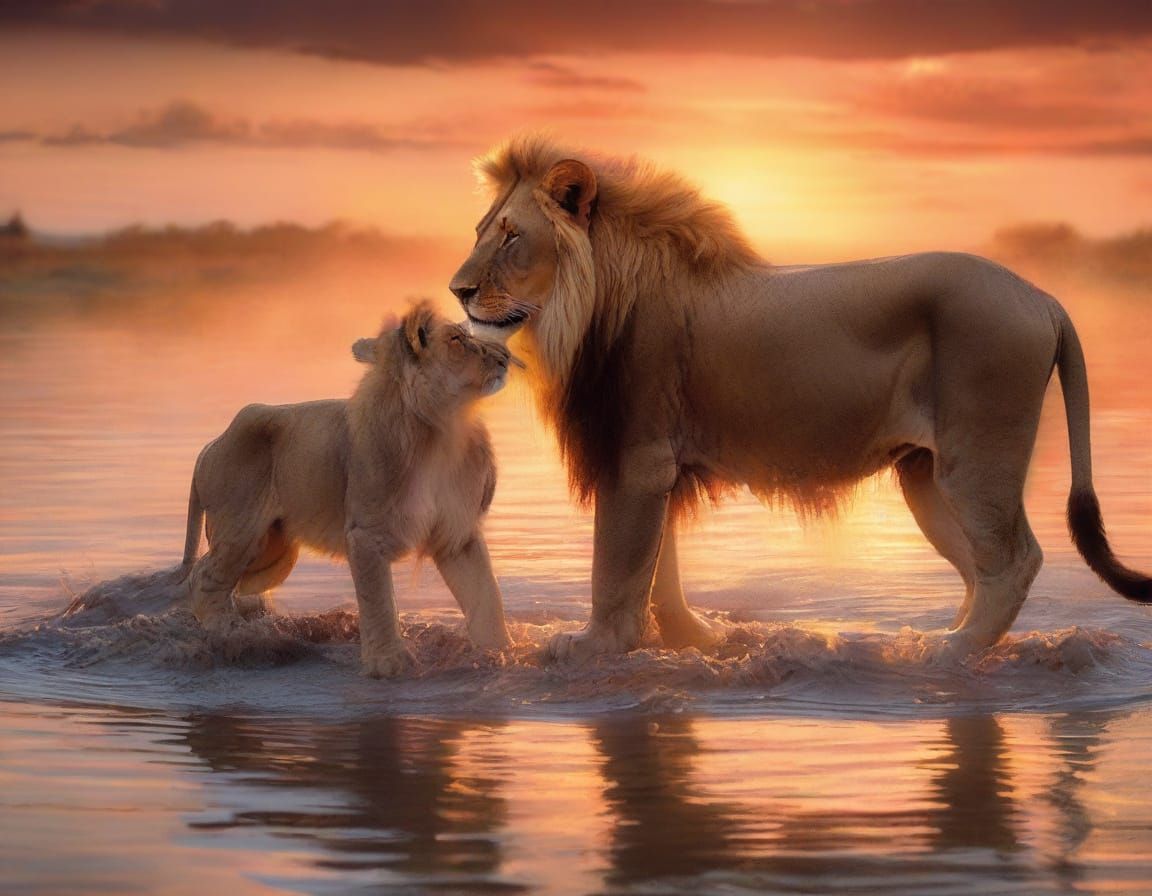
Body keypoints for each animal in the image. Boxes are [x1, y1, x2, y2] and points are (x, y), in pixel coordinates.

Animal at [180, 301, 513, 677]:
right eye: (457, 339)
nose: (506, 357)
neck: (445, 427)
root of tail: (212, 444)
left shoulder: (457, 534)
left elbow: (486, 596)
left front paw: (501, 653)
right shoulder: (367, 534)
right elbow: (379, 602)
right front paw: (389, 663)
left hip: (272, 553)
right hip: (241, 533)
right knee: (203, 578)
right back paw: (229, 634)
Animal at [448, 133, 1151, 662]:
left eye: (511, 236)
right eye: (479, 230)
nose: (457, 290)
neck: (583, 309)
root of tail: (1044, 296)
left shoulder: (635, 458)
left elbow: (617, 569)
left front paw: (591, 646)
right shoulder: (655, 465)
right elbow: (660, 572)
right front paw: (698, 640)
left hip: (976, 457)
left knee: (1014, 561)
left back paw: (948, 651)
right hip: (922, 475)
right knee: (980, 567)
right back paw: (948, 639)